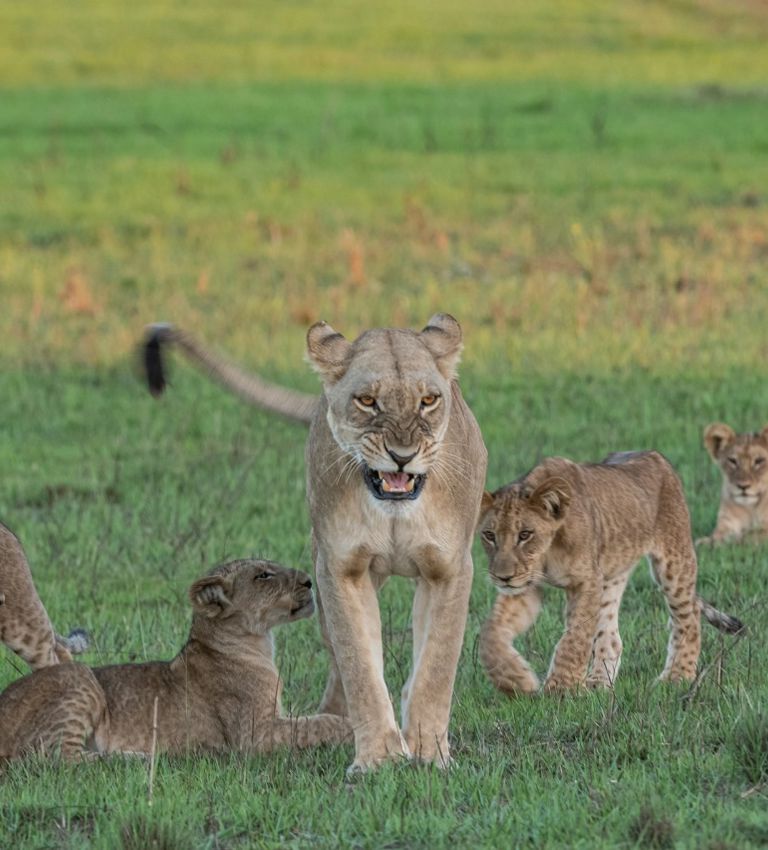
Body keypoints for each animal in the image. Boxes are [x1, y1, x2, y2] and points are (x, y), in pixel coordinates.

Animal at [0, 558, 351, 760]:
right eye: (263, 575)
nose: (309, 580)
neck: (258, 645)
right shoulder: (253, 735)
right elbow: (318, 724)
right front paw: (351, 728)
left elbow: (310, 719)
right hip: (80, 679)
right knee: (57, 760)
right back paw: (135, 759)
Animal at [143, 316, 487, 772]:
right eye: (367, 401)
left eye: (428, 400)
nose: (402, 455)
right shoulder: (340, 568)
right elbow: (358, 662)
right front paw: (377, 757)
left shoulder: (448, 568)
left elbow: (436, 665)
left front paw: (430, 754)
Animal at [477, 452, 743, 695]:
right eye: (489, 535)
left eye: (525, 534)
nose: (502, 577)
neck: (546, 553)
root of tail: (654, 455)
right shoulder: (526, 585)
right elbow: (491, 632)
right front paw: (514, 680)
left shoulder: (586, 581)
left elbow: (575, 637)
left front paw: (561, 689)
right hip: (612, 575)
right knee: (611, 637)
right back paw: (598, 682)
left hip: (674, 561)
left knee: (689, 617)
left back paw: (677, 677)